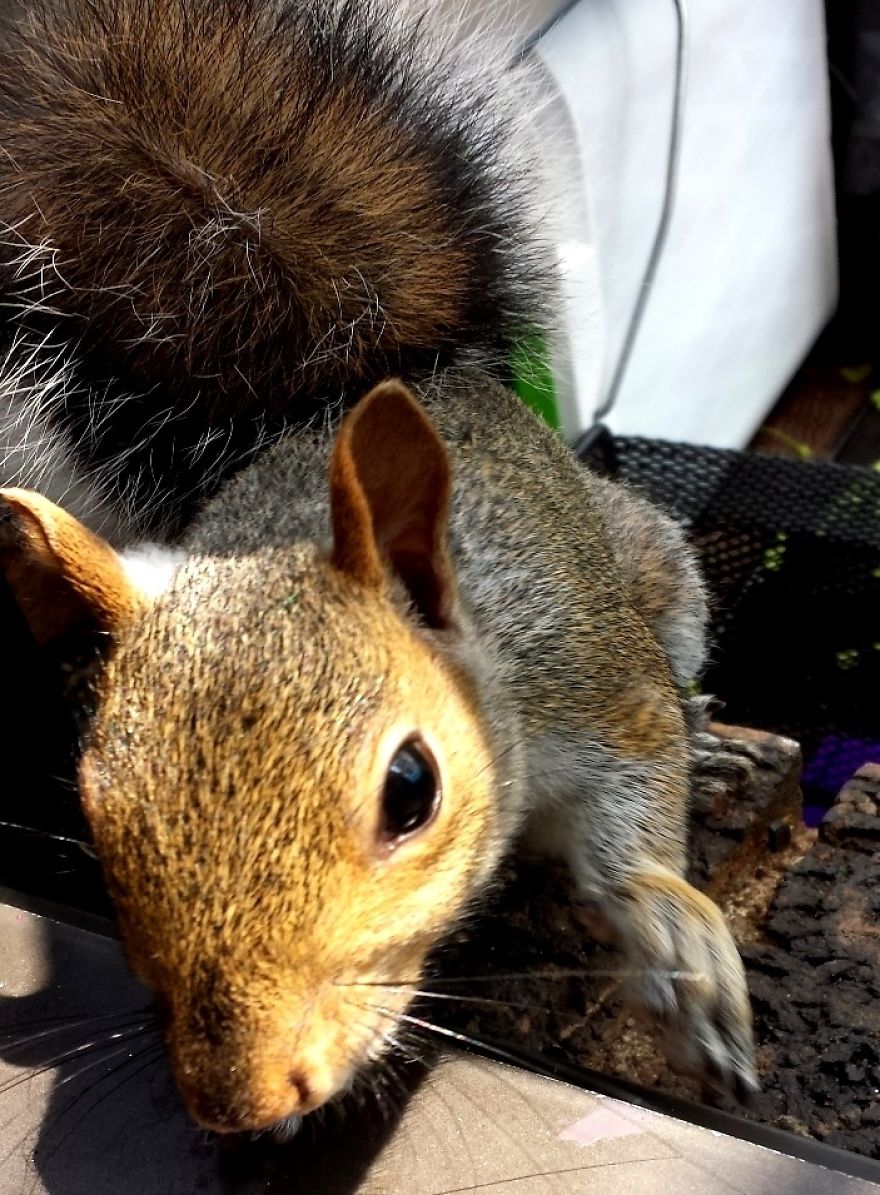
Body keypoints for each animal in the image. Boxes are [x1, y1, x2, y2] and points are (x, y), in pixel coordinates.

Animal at [0, 372, 757, 1134]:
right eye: (95, 815)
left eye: (411, 789)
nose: (240, 1102)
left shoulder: (590, 679)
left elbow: (644, 776)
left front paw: (674, 943)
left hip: (663, 576)